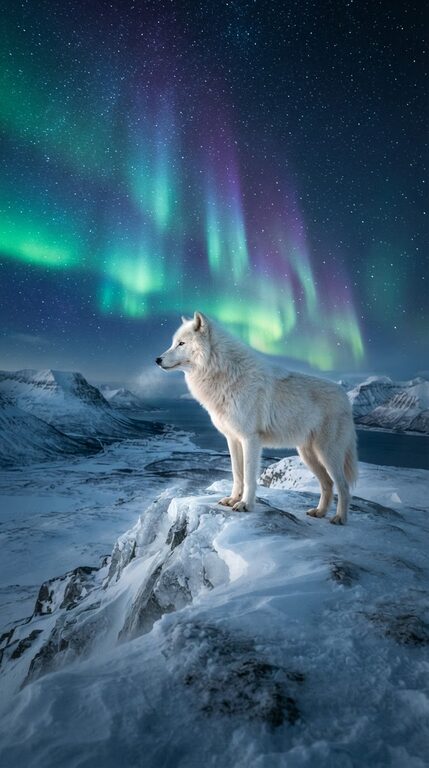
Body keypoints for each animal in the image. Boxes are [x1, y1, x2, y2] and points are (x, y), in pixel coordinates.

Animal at [156, 312, 358, 524]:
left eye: (181, 343)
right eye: (173, 343)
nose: (157, 359)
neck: (225, 373)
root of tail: (345, 397)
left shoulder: (250, 439)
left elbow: (249, 476)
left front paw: (245, 504)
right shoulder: (232, 439)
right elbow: (237, 474)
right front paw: (232, 499)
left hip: (328, 454)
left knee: (343, 486)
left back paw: (339, 518)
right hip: (308, 455)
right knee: (328, 484)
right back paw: (319, 512)